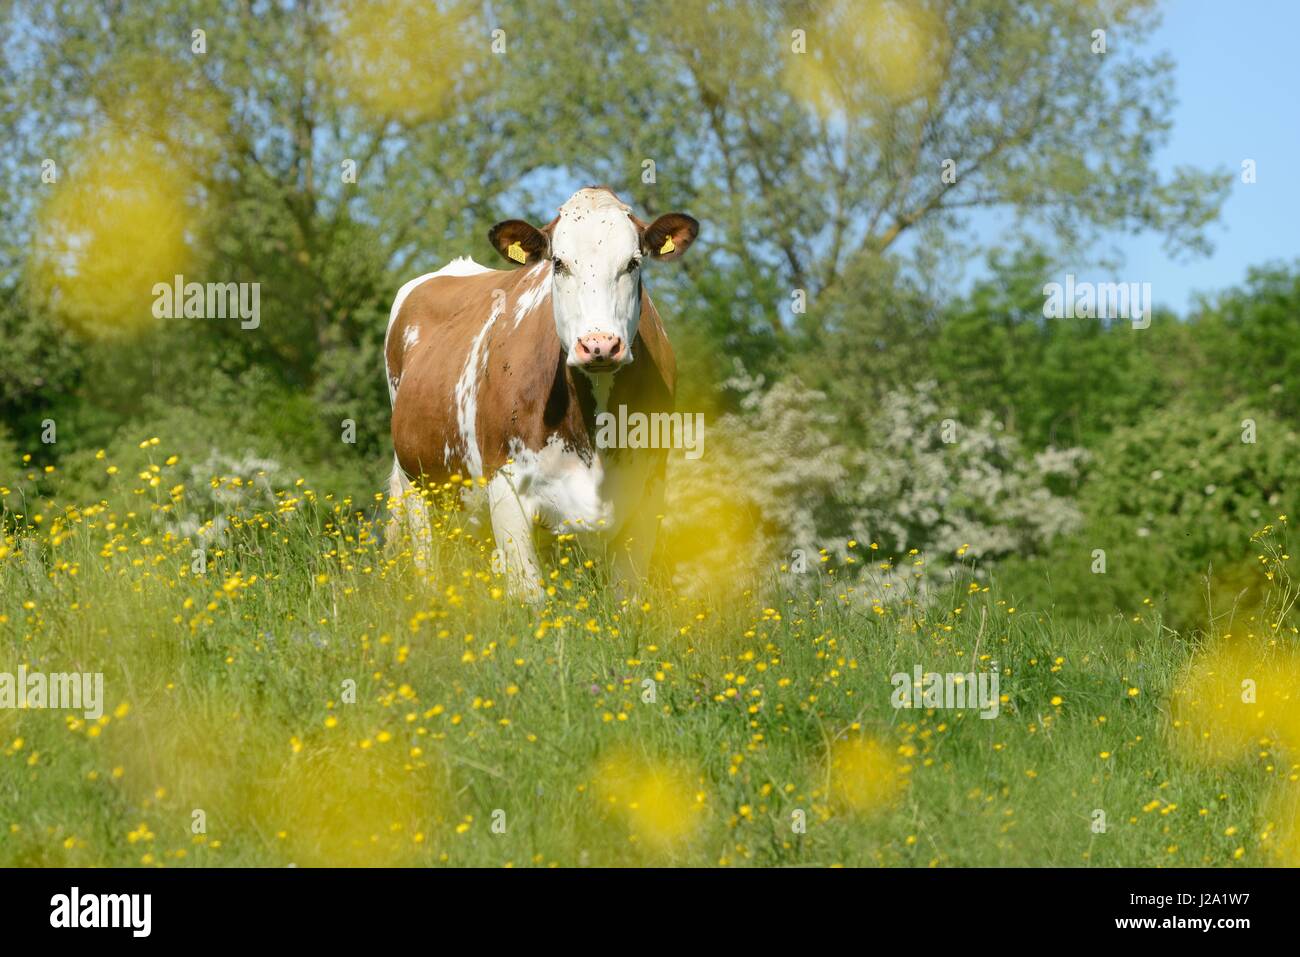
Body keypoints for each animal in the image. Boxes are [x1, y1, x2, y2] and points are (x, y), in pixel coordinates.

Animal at [384, 187, 699, 601]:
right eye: (559, 263)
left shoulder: (648, 495)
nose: (599, 345)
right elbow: (529, 597)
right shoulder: (506, 489)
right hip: (417, 487)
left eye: (633, 263)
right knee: (428, 561)